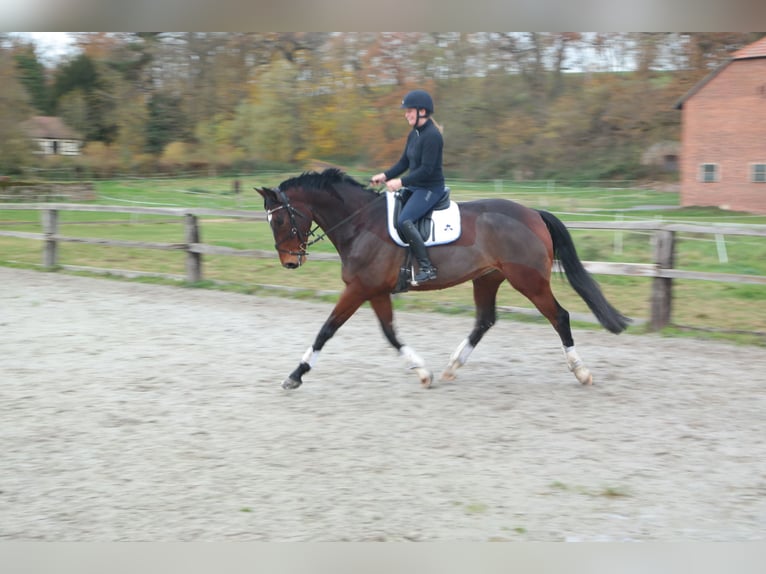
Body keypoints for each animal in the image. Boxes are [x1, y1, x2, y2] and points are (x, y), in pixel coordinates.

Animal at [258, 168, 632, 392]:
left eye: (280, 221)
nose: (289, 262)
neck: (360, 223)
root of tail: (533, 213)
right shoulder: (375, 291)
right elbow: (390, 334)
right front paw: (423, 372)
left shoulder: (359, 288)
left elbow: (327, 330)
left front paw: (295, 375)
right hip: (488, 279)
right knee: (484, 320)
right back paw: (453, 366)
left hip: (529, 281)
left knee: (560, 317)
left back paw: (581, 372)